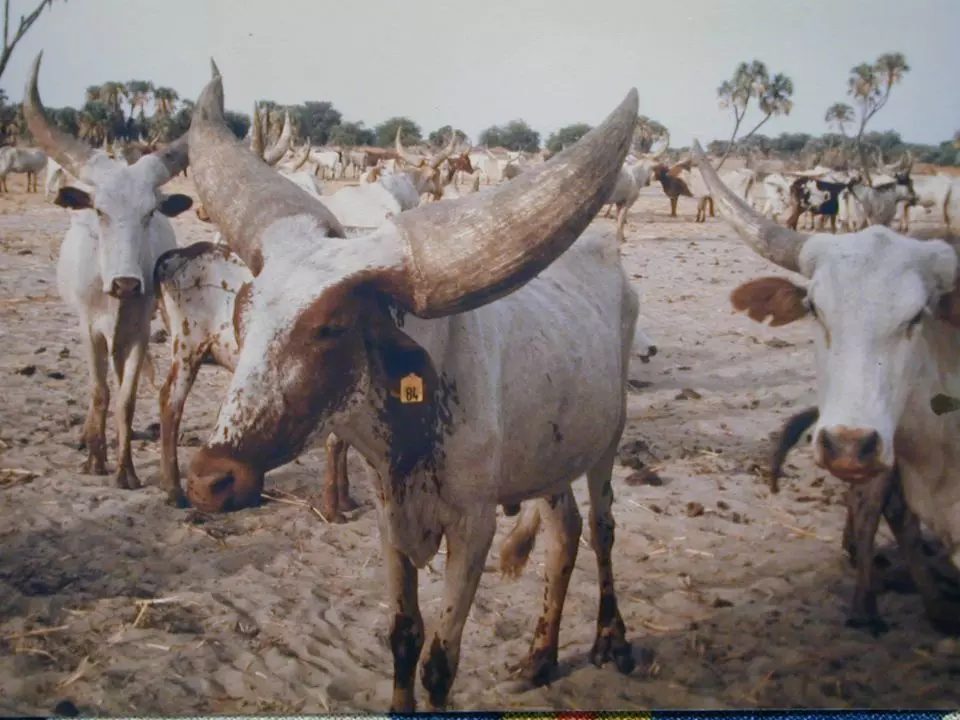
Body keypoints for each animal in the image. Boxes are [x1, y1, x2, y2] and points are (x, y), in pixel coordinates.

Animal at [184, 64, 640, 712]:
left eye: (332, 327)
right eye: (244, 312)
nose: (210, 480)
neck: (412, 423)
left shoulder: (472, 529)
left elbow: (440, 661)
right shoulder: (389, 517)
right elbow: (403, 637)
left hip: (607, 443)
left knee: (602, 530)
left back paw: (611, 640)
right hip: (553, 455)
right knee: (565, 534)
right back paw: (539, 658)